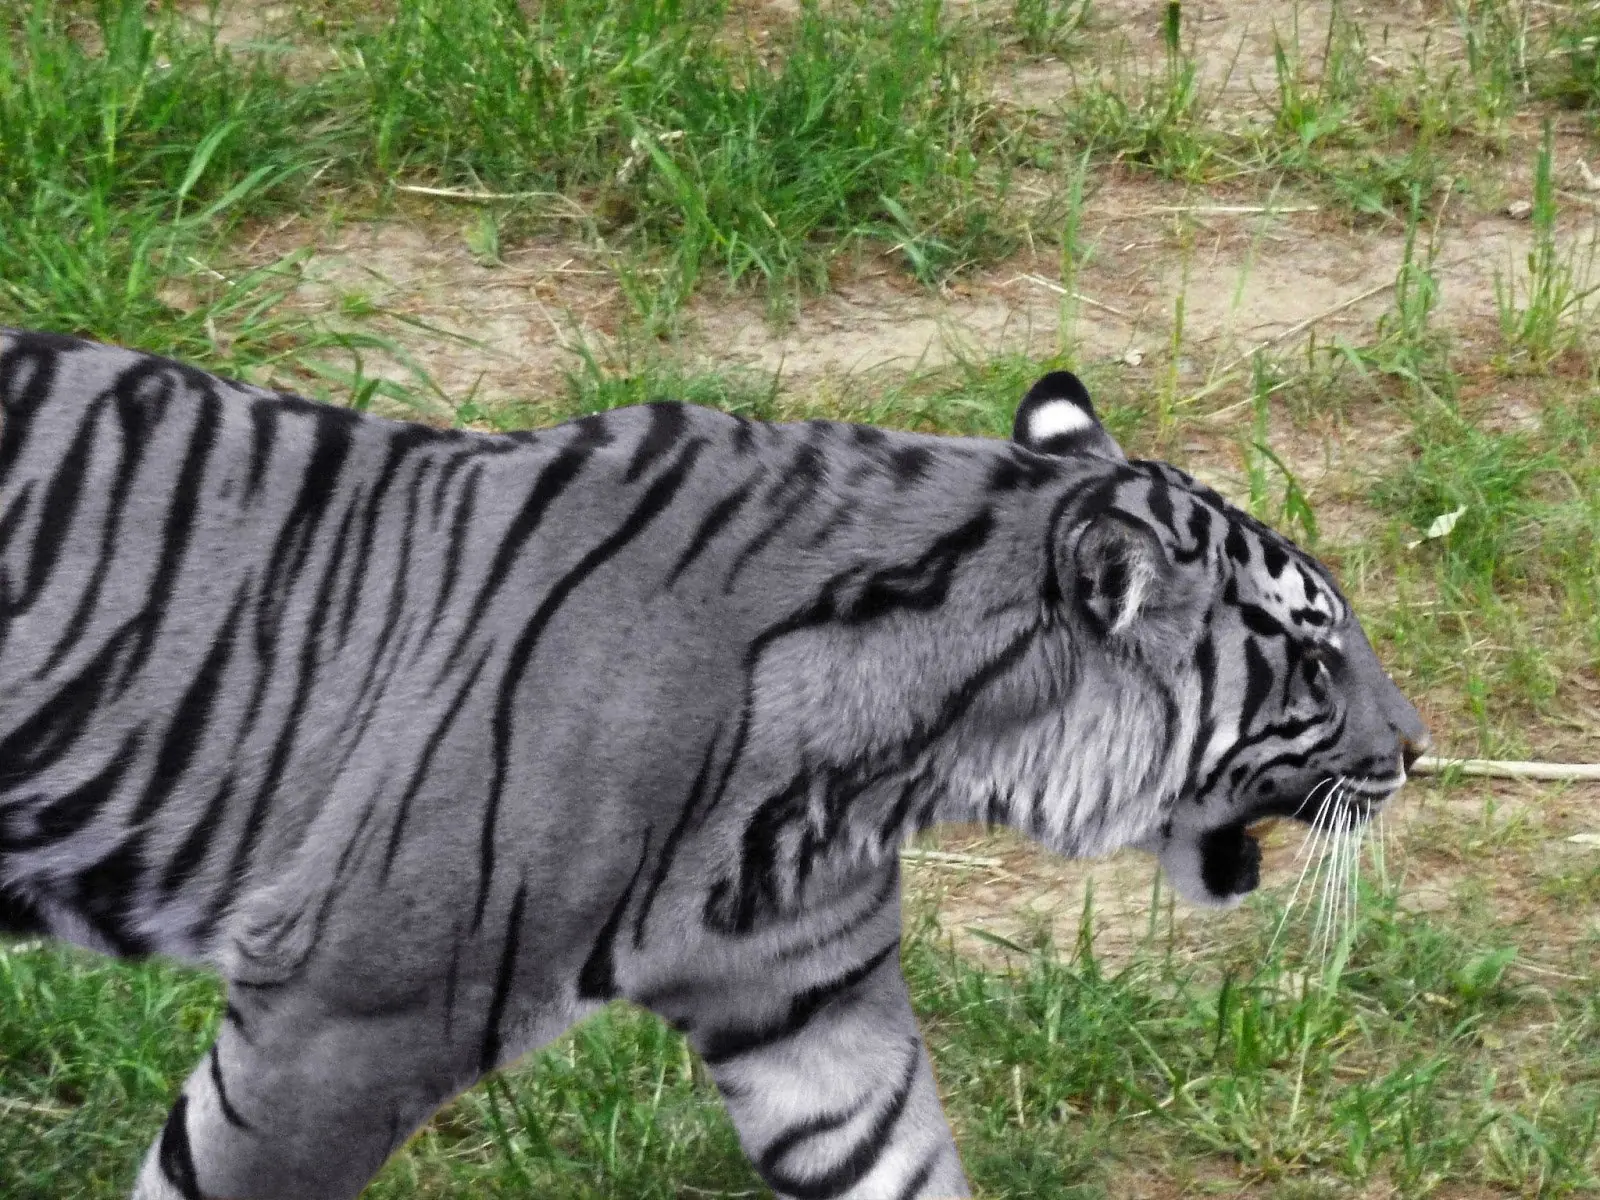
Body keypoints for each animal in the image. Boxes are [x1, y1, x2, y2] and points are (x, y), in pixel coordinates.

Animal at [0, 328, 1428, 1200]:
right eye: (1312, 660)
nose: (1419, 747)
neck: (892, 767)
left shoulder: (809, 1004)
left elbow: (901, 1161)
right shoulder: (348, 1012)